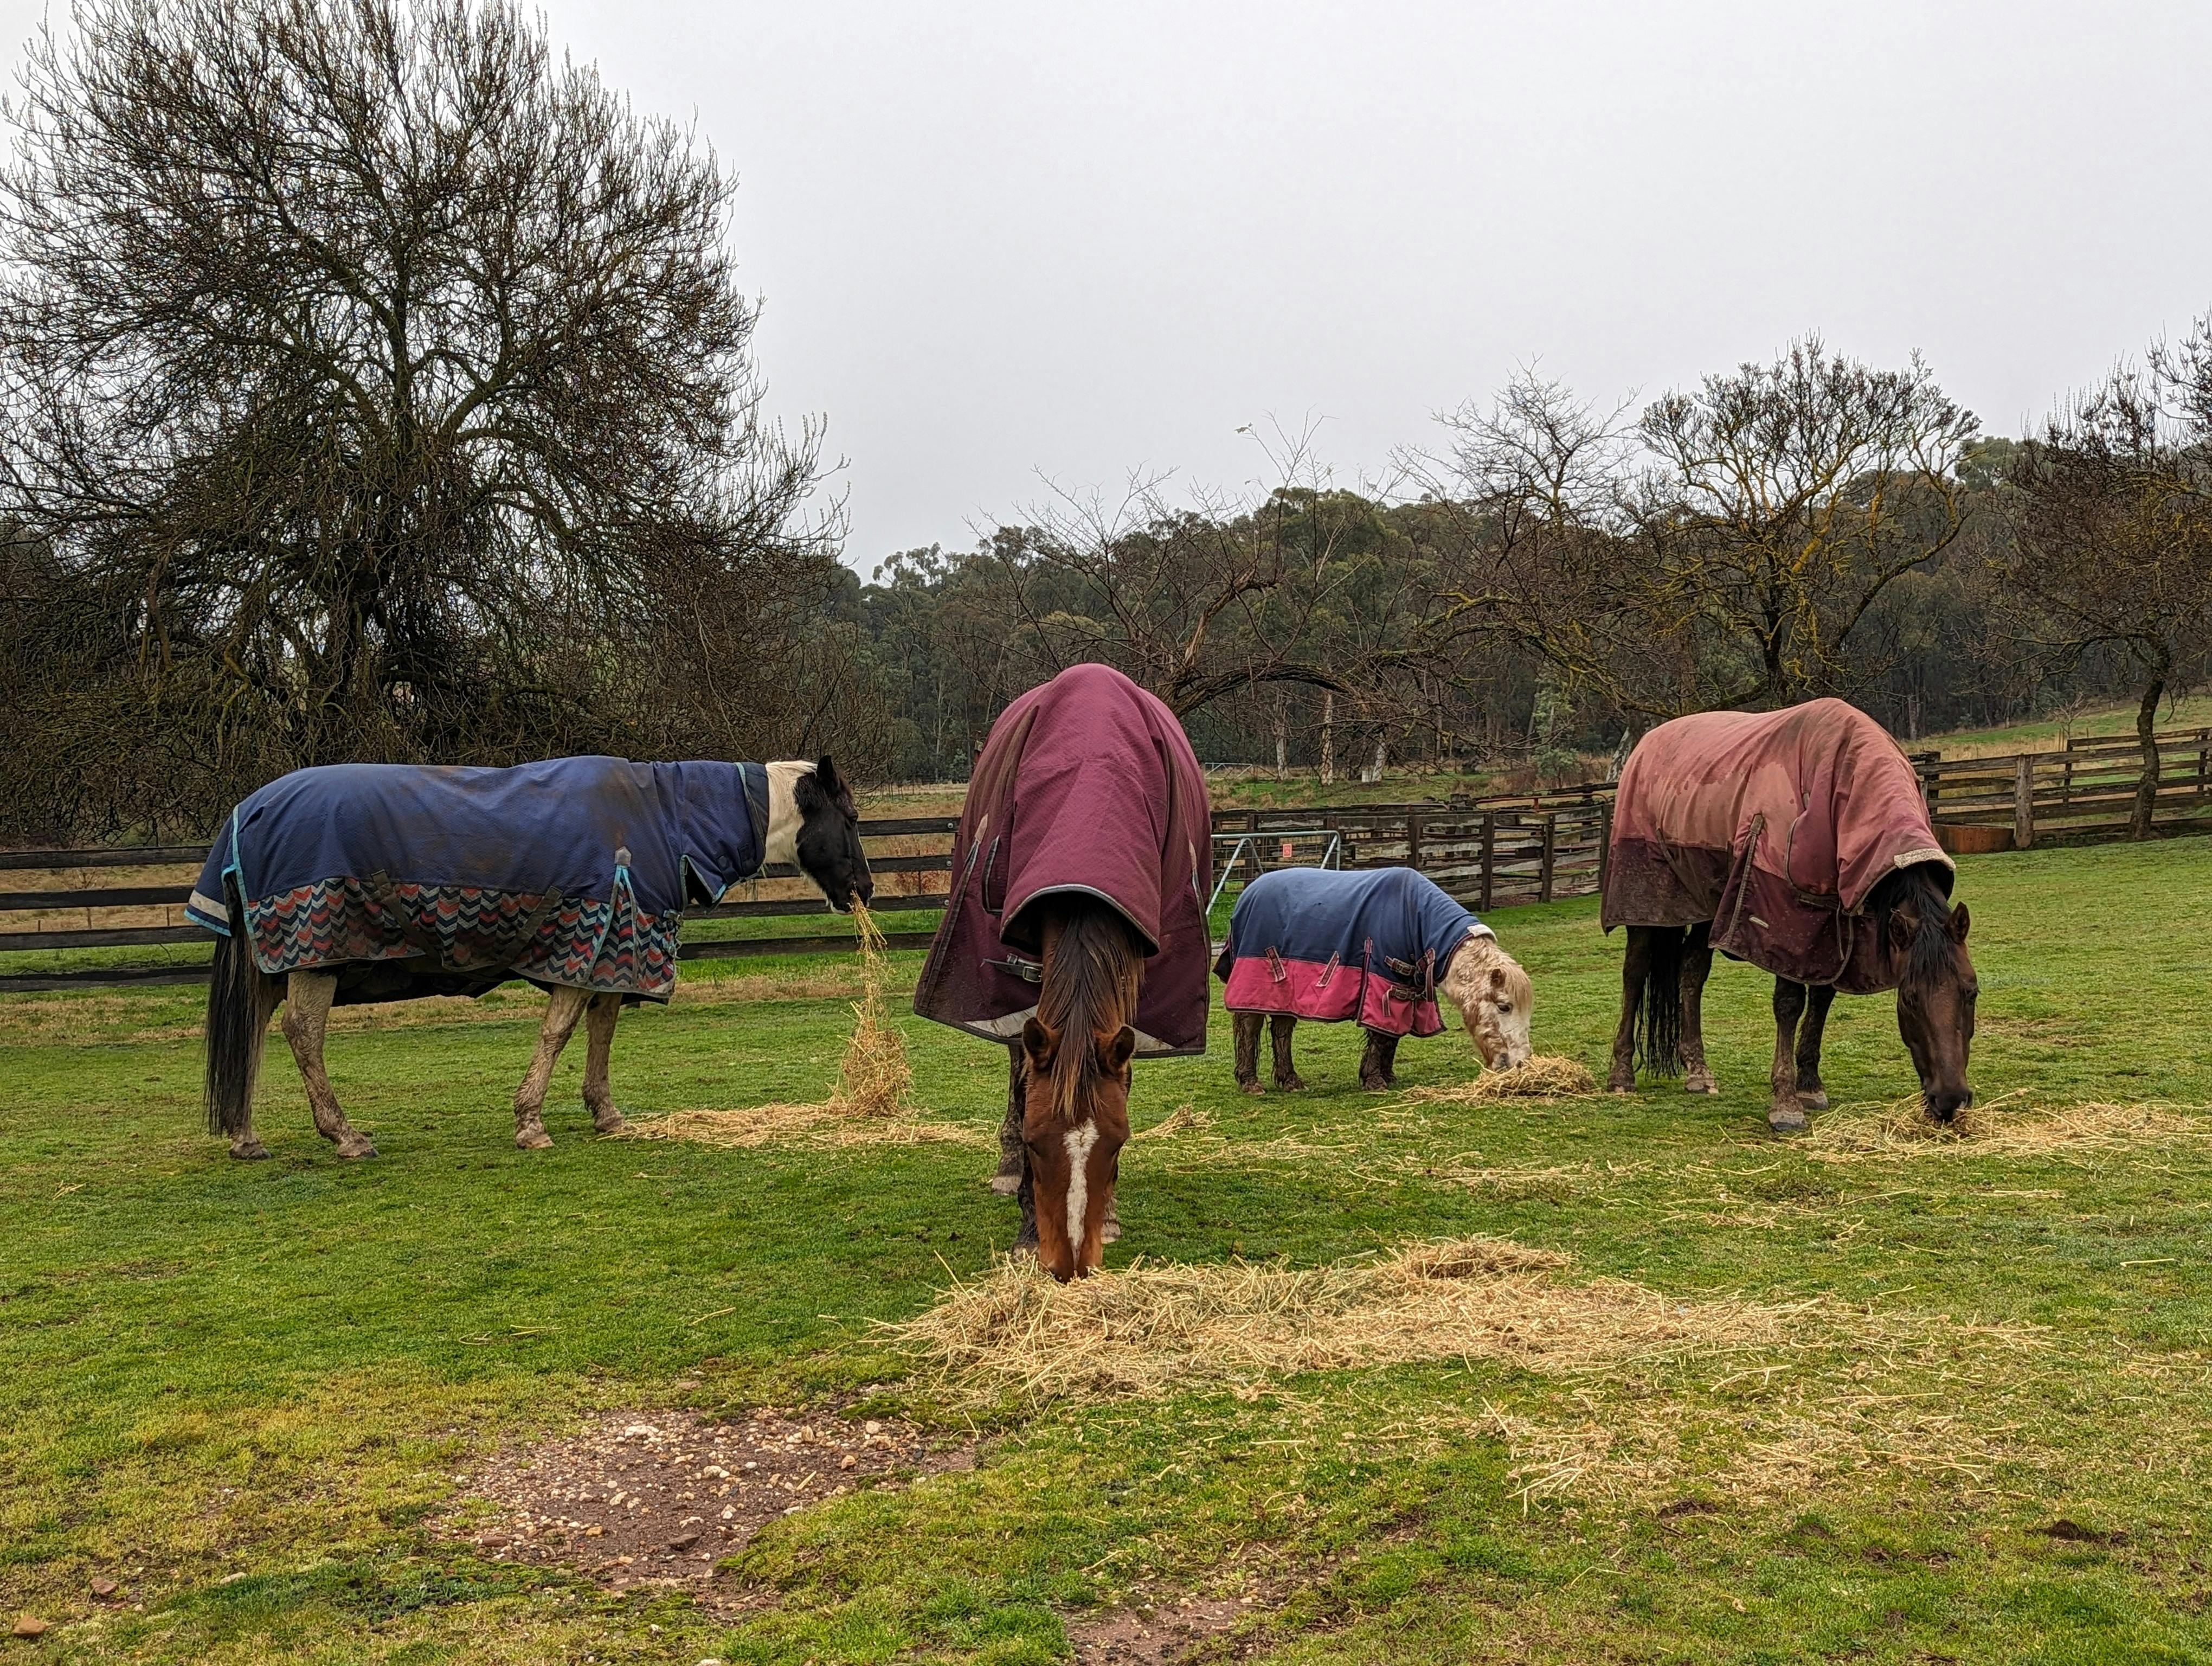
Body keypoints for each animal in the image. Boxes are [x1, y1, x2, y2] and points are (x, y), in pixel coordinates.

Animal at [194, 755, 871, 1159]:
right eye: (851, 818)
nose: (863, 888)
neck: (667, 821)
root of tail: (248, 812)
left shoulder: (613, 955)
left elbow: (602, 1030)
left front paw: (605, 1113)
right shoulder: (585, 948)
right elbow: (560, 1032)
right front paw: (530, 1121)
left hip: (275, 967)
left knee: (253, 1033)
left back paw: (247, 1136)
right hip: (313, 962)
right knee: (302, 1035)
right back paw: (344, 1134)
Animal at [912, 664, 1212, 1281]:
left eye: (1118, 1144)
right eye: (1034, 1142)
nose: (1070, 1262)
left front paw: (1111, 1216)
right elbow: (1023, 1076)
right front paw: (1027, 1222)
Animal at [1215, 865, 1533, 1092]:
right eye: (1504, 1006)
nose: (1519, 1064)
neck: (1415, 917)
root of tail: (1246, 896)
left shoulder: (1405, 987)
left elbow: (1393, 1034)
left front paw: (1387, 1076)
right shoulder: (1383, 983)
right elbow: (1381, 1034)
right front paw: (1375, 1081)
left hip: (1286, 991)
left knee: (1282, 1029)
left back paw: (1290, 1080)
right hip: (1259, 980)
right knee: (1250, 1027)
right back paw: (1250, 1082)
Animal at [1600, 700, 1975, 1133]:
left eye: (1971, 991)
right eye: (1910, 998)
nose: (1949, 1099)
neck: (1844, 786)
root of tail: (1646, 746)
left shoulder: (1838, 924)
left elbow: (1823, 999)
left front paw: (1810, 1084)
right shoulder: (1787, 917)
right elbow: (1790, 1004)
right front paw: (1786, 1102)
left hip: (1709, 906)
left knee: (1691, 972)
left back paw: (1698, 1071)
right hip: (1646, 905)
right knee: (1634, 973)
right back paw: (1622, 1075)